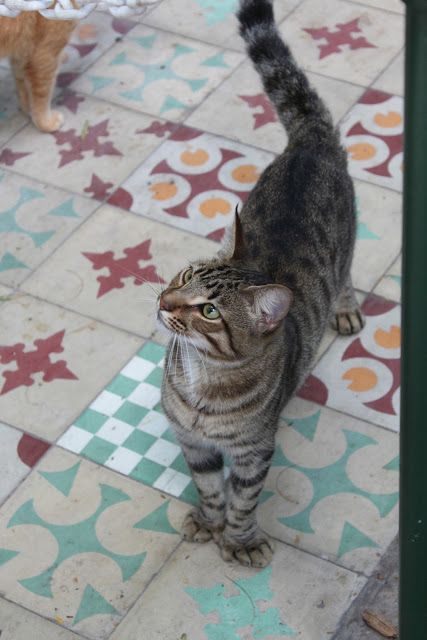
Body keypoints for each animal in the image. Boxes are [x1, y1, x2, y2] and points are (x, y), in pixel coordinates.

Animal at [159, 0, 366, 568]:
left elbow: (244, 498)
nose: (163, 300)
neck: (203, 382)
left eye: (209, 311)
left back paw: (346, 308)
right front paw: (208, 522)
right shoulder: (194, 445)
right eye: (184, 276)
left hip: (346, 248)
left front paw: (240, 540)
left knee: (345, 276)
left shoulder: (253, 452)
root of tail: (311, 141)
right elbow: (210, 489)